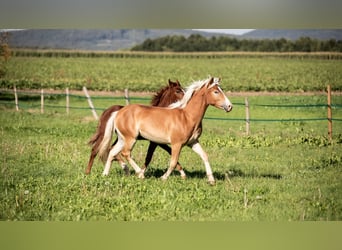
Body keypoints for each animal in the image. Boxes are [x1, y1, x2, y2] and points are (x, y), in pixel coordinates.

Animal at [99, 77, 232, 185]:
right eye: (216, 91)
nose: (230, 106)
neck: (187, 117)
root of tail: (119, 112)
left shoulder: (192, 142)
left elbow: (204, 156)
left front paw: (211, 180)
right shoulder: (176, 144)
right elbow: (173, 162)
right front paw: (164, 178)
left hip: (122, 139)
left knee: (112, 152)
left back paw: (105, 174)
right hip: (130, 138)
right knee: (125, 153)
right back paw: (140, 174)